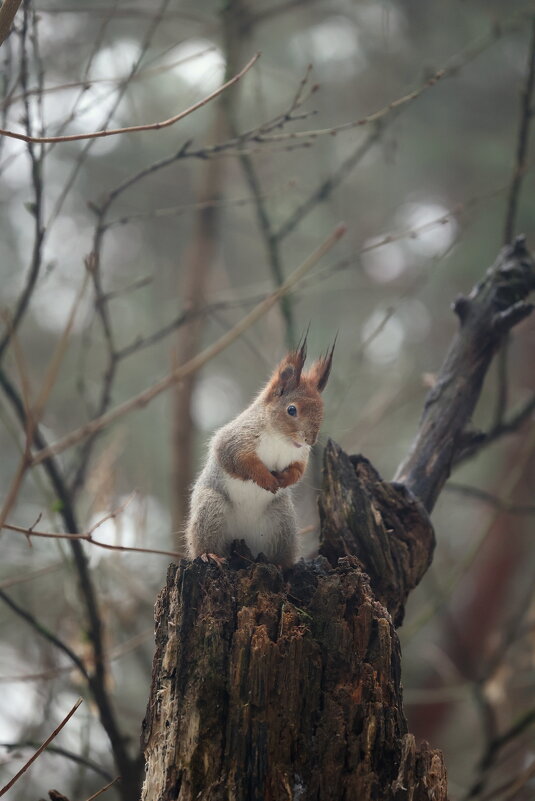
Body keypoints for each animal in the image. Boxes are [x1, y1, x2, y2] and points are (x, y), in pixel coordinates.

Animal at [186, 338, 332, 568]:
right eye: (291, 409)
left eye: (321, 411)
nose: (310, 440)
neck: (280, 440)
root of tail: (244, 537)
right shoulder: (235, 440)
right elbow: (239, 461)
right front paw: (265, 478)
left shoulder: (301, 456)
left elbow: (298, 471)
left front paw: (285, 479)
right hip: (211, 508)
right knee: (205, 542)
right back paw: (209, 555)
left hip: (282, 520)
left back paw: (281, 564)